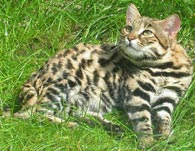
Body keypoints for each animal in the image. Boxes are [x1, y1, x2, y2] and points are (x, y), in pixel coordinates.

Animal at [2, 3, 192, 147]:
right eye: (128, 28)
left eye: (147, 32)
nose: (129, 37)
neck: (165, 67)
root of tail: (31, 79)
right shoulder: (137, 93)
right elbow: (143, 119)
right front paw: (148, 142)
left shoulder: (167, 98)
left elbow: (164, 120)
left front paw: (166, 137)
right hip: (64, 84)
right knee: (31, 114)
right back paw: (72, 126)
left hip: (87, 99)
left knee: (72, 113)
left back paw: (109, 126)